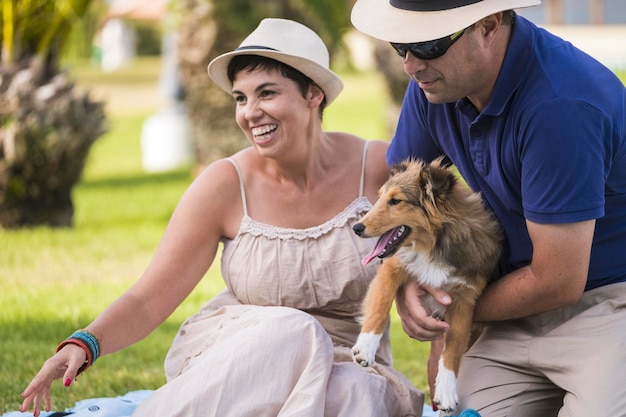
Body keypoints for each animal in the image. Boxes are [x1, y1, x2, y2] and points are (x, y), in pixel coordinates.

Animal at [352, 157, 502, 412]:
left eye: (395, 201)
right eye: (380, 197)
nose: (356, 227)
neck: (434, 245)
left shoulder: (465, 299)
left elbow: (453, 347)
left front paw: (447, 390)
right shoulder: (392, 268)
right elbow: (380, 307)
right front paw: (366, 347)